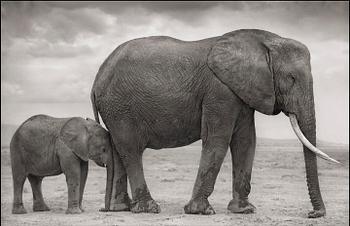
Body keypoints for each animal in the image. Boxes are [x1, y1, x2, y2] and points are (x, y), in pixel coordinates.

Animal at [90, 29, 340, 217]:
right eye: (291, 78)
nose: (312, 214)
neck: (265, 40)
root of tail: (96, 80)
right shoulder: (220, 92)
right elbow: (217, 140)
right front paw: (200, 211)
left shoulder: (240, 93)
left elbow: (246, 142)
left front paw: (244, 211)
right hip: (120, 107)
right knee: (131, 151)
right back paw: (149, 209)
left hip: (115, 109)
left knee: (118, 151)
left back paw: (121, 208)